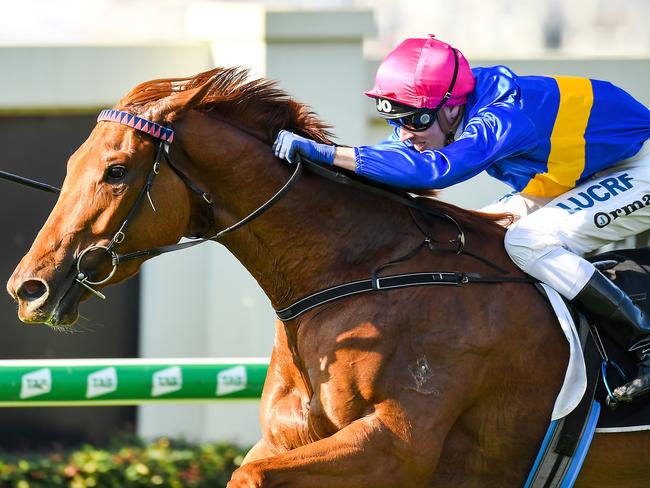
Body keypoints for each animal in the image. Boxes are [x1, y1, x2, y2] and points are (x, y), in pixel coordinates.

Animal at [6, 67, 648, 484]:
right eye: (72, 164)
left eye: (115, 171)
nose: (29, 287)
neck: (362, 271)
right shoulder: (290, 436)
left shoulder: (395, 445)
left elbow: (252, 478)